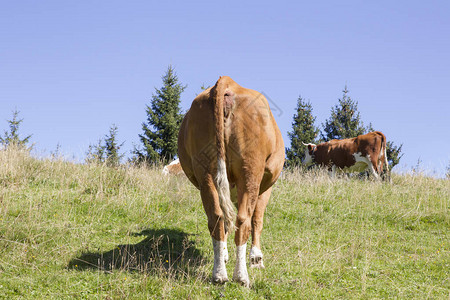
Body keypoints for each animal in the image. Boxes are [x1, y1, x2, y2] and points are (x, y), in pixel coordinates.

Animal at [177, 75, 284, 286]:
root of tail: (227, 83)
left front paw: (225, 255)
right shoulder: (265, 187)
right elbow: (257, 219)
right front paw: (256, 258)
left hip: (206, 170)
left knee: (217, 217)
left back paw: (219, 274)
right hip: (251, 169)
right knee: (243, 220)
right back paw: (241, 276)